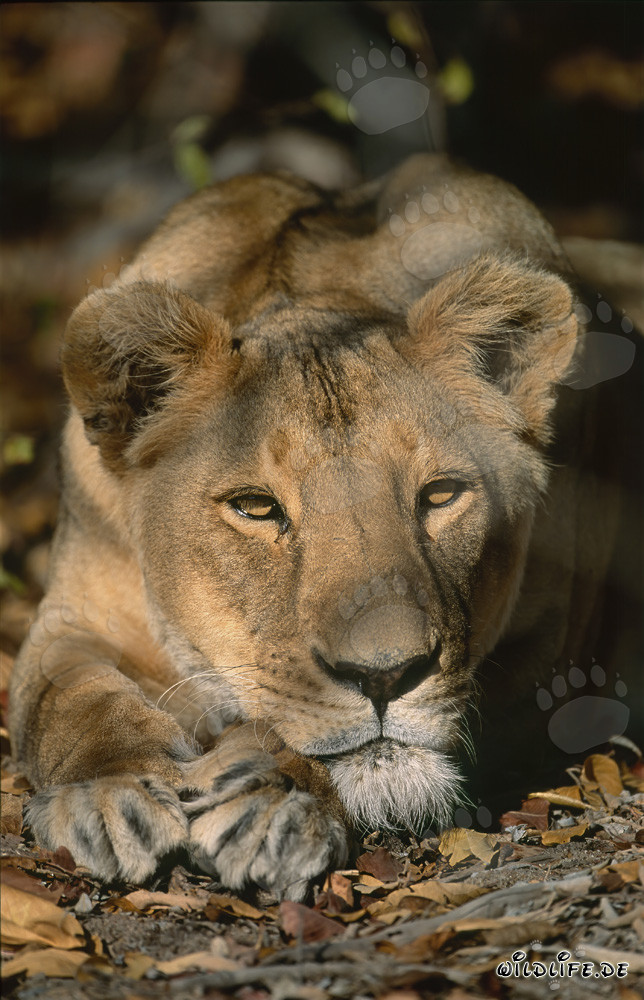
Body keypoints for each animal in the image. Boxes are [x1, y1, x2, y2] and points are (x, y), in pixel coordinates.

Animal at [9, 154, 642, 899]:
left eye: (441, 495)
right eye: (256, 508)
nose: (386, 677)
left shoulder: (553, 656)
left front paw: (272, 799)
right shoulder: (75, 616)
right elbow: (71, 704)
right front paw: (110, 797)